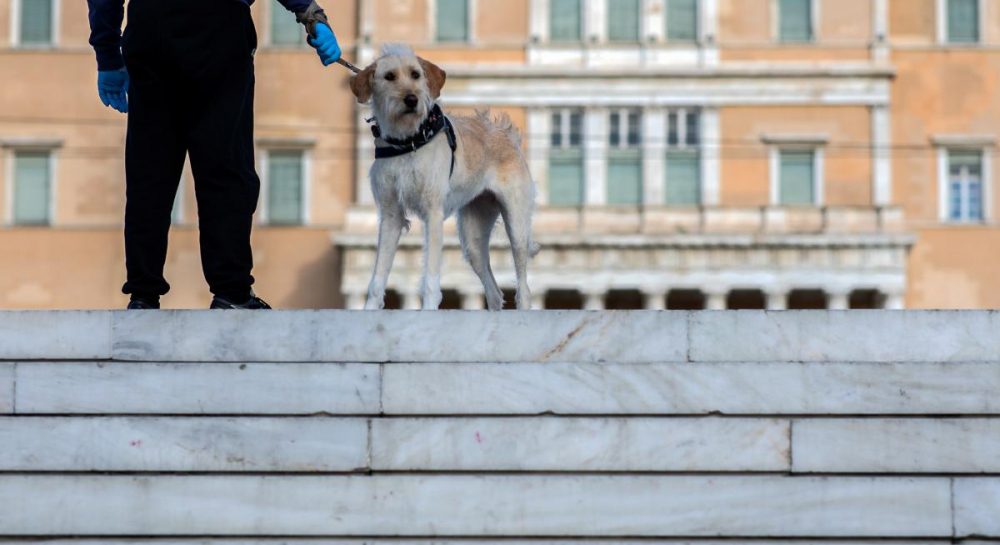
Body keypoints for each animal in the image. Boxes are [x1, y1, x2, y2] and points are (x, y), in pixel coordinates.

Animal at [350, 44, 538, 311]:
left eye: (416, 74)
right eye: (389, 76)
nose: (412, 99)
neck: (407, 142)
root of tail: (506, 135)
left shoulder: (433, 214)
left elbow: (430, 276)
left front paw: (428, 308)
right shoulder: (390, 216)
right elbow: (378, 277)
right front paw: (369, 310)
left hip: (517, 226)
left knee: (523, 287)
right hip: (473, 240)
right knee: (494, 291)